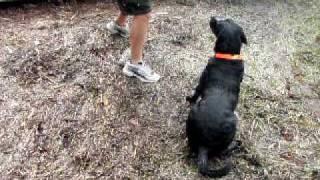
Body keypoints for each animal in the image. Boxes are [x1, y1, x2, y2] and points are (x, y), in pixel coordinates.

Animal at [186, 16, 246, 177]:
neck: (228, 56)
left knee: (222, 152)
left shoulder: (202, 79)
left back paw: (235, 146)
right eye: (228, 19)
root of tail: (204, 145)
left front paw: (189, 98)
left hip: (232, 124)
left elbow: (196, 92)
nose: (212, 17)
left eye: (218, 24)